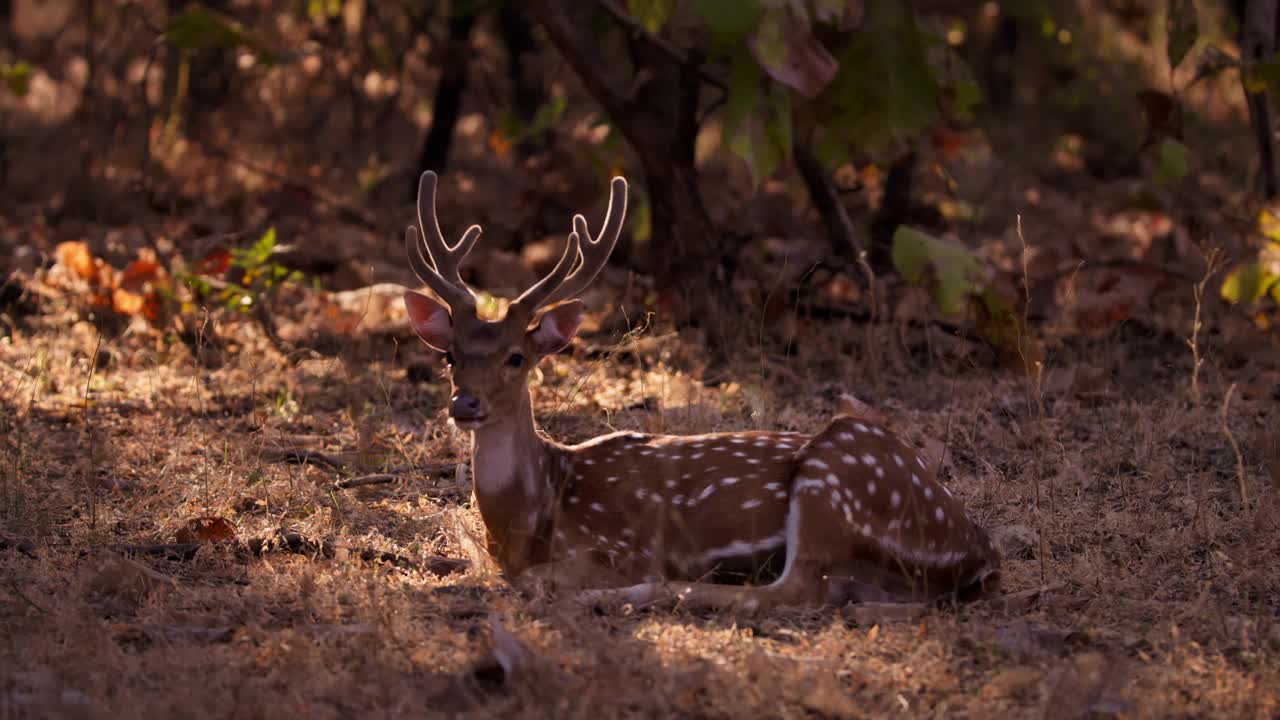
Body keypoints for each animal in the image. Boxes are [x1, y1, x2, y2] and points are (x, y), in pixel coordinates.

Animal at [399, 169, 998, 609]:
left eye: (516, 357)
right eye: (450, 356)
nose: (465, 403)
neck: (529, 518)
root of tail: (976, 550)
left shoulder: (622, 545)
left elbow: (536, 578)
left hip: (834, 475)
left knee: (793, 591)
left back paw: (637, 594)